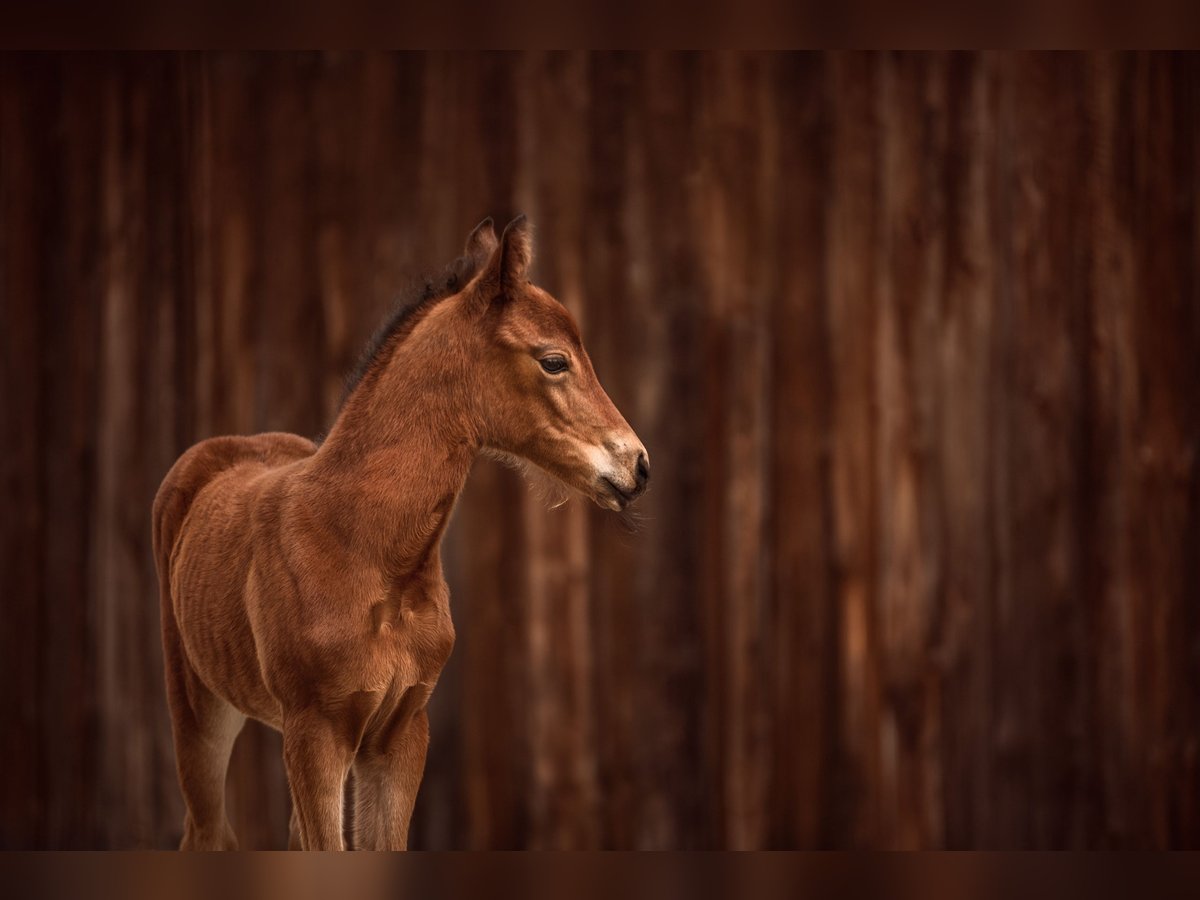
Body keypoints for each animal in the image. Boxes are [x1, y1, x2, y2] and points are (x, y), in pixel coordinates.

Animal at [157, 218, 657, 854]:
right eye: (553, 361)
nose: (638, 464)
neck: (364, 549)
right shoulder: (317, 733)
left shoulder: (400, 734)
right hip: (199, 709)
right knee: (206, 830)